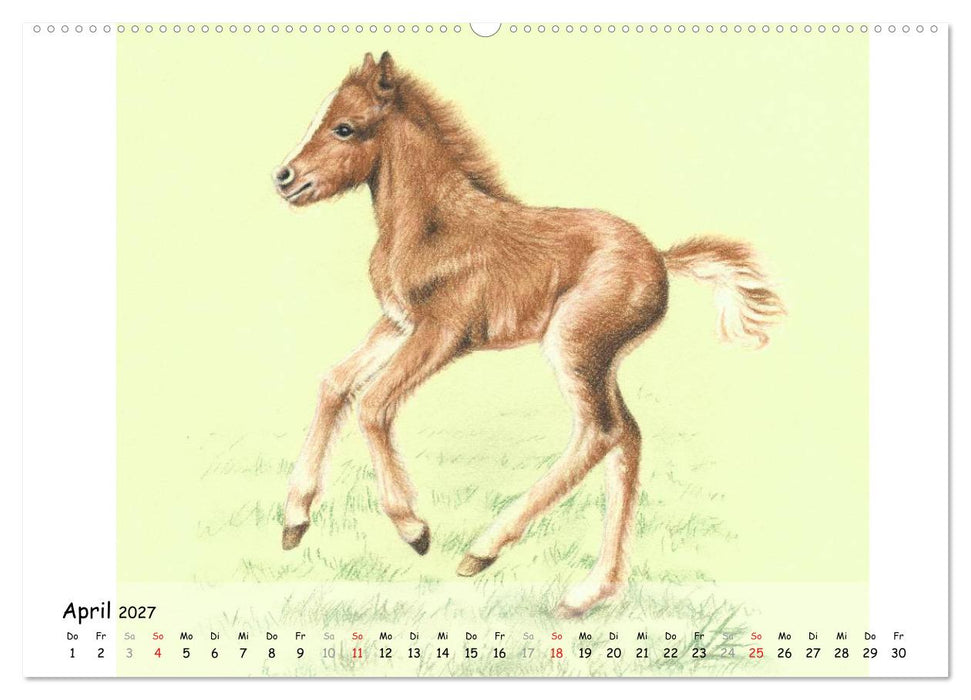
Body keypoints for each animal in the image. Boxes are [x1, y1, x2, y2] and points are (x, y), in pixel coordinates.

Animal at [273, 52, 784, 617]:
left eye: (345, 128)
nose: (284, 178)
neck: (433, 225)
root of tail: (661, 258)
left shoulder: (444, 332)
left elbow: (374, 404)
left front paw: (413, 529)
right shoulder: (396, 323)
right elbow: (335, 384)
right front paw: (295, 521)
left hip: (572, 348)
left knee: (600, 433)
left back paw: (484, 550)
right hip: (601, 361)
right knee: (627, 437)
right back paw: (589, 592)